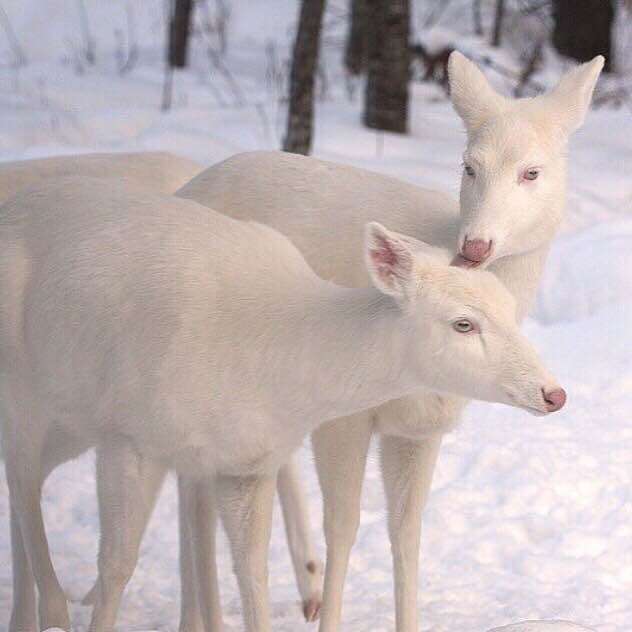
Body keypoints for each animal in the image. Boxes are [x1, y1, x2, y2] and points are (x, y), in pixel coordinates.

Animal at [0, 175, 564, 632]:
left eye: (509, 308)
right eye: (463, 323)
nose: (553, 393)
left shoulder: (247, 462)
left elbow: (252, 572)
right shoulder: (129, 434)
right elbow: (117, 564)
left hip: (71, 421)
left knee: (27, 481)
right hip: (24, 390)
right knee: (23, 482)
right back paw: (47, 610)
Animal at [169, 51, 604, 628]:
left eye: (531, 172)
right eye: (469, 166)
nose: (475, 245)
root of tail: (183, 188)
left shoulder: (421, 426)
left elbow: (407, 533)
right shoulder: (343, 415)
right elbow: (345, 526)